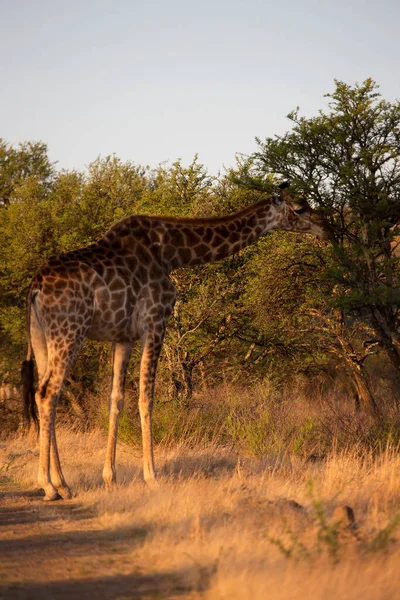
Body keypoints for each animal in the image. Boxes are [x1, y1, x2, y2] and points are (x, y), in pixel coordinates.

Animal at [21, 184, 332, 502]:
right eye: (300, 208)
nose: (325, 228)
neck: (172, 253)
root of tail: (35, 288)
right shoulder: (155, 321)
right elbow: (147, 397)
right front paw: (152, 477)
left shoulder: (123, 336)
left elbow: (116, 399)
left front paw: (110, 477)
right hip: (71, 330)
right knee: (48, 392)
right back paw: (49, 485)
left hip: (42, 337)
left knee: (46, 392)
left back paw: (62, 483)